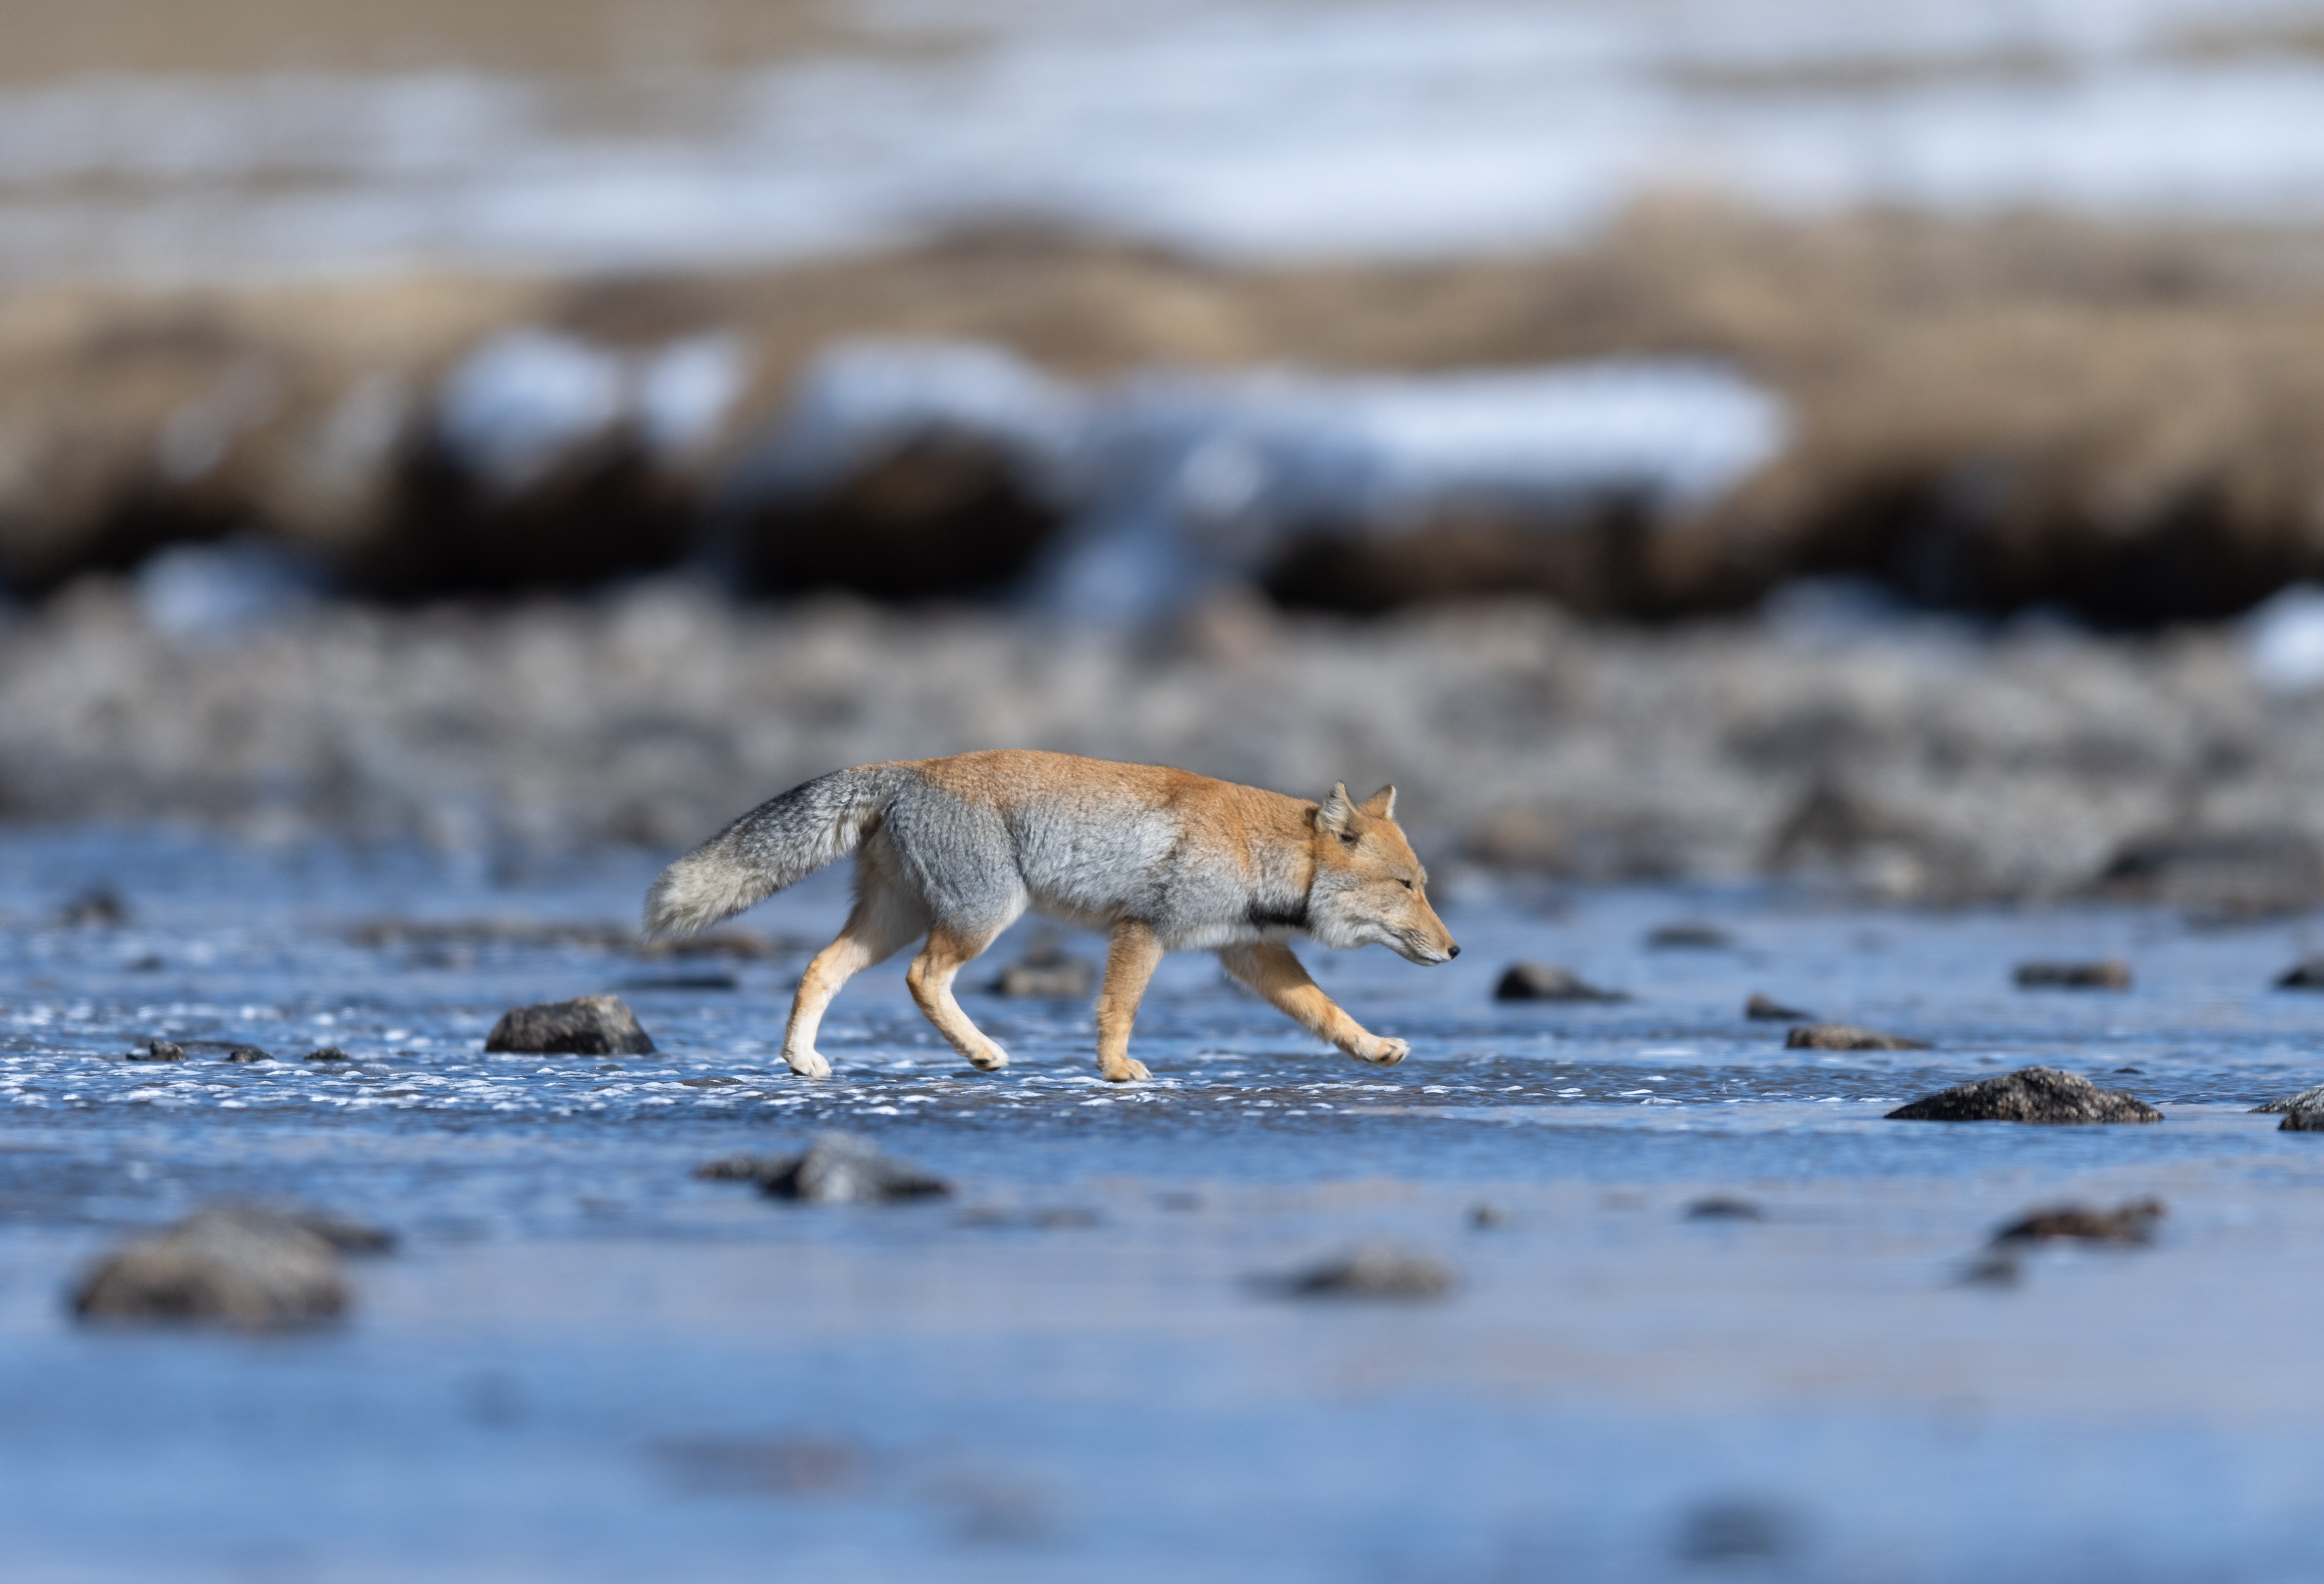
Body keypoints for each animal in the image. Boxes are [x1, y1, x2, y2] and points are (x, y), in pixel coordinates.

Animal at [641, 749, 1459, 1082]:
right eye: (1407, 886)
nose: (1456, 952)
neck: (1262, 851)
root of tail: (911, 769)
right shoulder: (1143, 932)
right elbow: (1116, 1011)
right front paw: (1117, 1071)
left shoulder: (1248, 955)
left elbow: (1327, 1013)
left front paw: (1373, 1049)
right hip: (979, 919)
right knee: (922, 978)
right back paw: (980, 1052)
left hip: (892, 922)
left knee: (818, 967)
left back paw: (803, 1060)